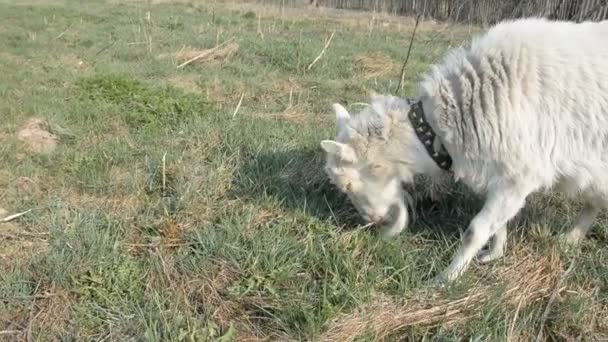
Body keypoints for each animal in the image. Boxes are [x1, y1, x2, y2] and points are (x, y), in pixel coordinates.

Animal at [320, 17, 608, 282]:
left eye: (348, 185)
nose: (373, 221)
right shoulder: (501, 176)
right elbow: (497, 225)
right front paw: (493, 254)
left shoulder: (520, 175)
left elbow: (476, 230)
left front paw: (445, 278)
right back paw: (570, 239)